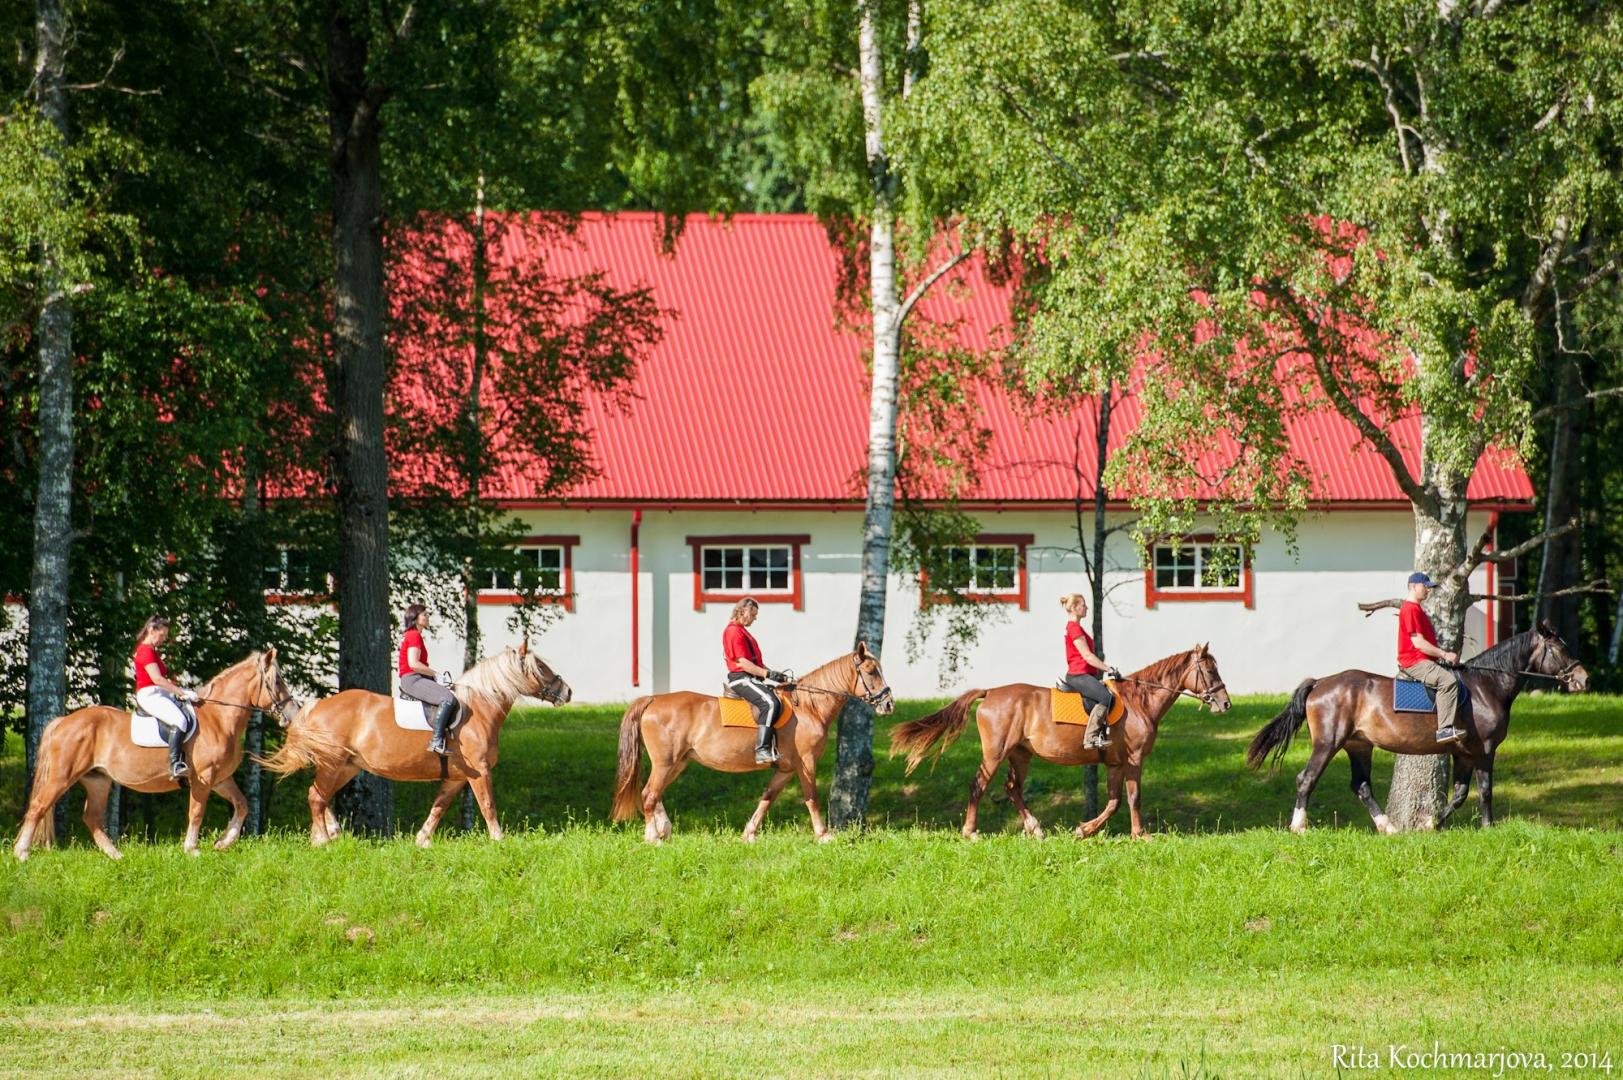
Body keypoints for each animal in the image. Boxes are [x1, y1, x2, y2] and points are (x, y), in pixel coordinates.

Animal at [13, 649, 301, 861]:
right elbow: (196, 812)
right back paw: (22, 853)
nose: (293, 714)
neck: (219, 719)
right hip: (63, 776)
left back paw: (116, 855)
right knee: (38, 806)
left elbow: (242, 804)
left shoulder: (220, 779)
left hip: (98, 780)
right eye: (277, 682)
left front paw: (223, 842)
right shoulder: (204, 778)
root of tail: (63, 721)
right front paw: (192, 849)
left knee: (91, 817)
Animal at [258, 640, 569, 847]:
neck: (480, 708)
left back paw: (326, 835)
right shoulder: (480, 771)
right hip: (332, 763)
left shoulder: (458, 776)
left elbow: (439, 806)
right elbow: (488, 805)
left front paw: (422, 840)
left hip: (346, 766)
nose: (567, 691)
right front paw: (499, 839)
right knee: (316, 796)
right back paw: (322, 839)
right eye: (541, 667)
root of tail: (316, 706)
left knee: (320, 797)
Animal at [611, 642, 895, 843]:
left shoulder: (786, 768)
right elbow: (812, 797)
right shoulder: (806, 763)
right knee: (649, 794)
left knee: (656, 794)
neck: (809, 708)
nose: (889, 704)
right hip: (665, 763)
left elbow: (767, 797)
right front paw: (823, 835)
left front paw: (749, 834)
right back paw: (653, 838)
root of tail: (653, 699)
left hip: (678, 763)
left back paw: (664, 830)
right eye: (871, 672)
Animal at [888, 645, 1232, 840]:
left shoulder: (1115, 763)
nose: (1225, 703)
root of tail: (991, 693)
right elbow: (1133, 798)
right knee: (979, 785)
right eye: (1209, 669)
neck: (1140, 701)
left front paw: (1085, 830)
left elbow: (1114, 801)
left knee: (1012, 788)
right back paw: (971, 832)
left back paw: (1035, 828)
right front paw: (1140, 835)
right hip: (996, 753)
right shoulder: (1134, 758)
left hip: (1020, 755)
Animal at [1245, 621, 1588, 833]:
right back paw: (1299, 826)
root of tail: (1320, 683)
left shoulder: (1464, 753)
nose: (1583, 679)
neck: (1485, 686)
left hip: (1359, 745)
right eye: (1560, 650)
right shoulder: (1484, 750)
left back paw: (1389, 828)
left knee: (1362, 786)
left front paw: (1429, 825)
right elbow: (1485, 791)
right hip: (1328, 743)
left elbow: (1460, 794)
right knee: (1306, 779)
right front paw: (1488, 827)